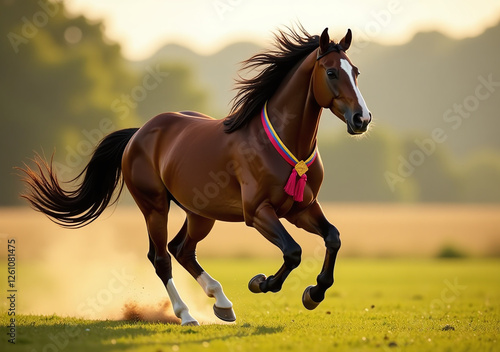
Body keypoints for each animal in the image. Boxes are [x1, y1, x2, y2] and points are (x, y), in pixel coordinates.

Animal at [19, 26, 372, 326]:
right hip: (155, 207)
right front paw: (261, 283)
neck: (285, 145)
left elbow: (333, 237)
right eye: (331, 72)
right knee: (161, 257)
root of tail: (139, 133)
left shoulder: (302, 208)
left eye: (355, 71)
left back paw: (222, 304)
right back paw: (186, 315)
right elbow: (293, 251)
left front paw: (314, 293)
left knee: (182, 250)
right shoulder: (258, 212)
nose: (362, 119)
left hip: (201, 213)